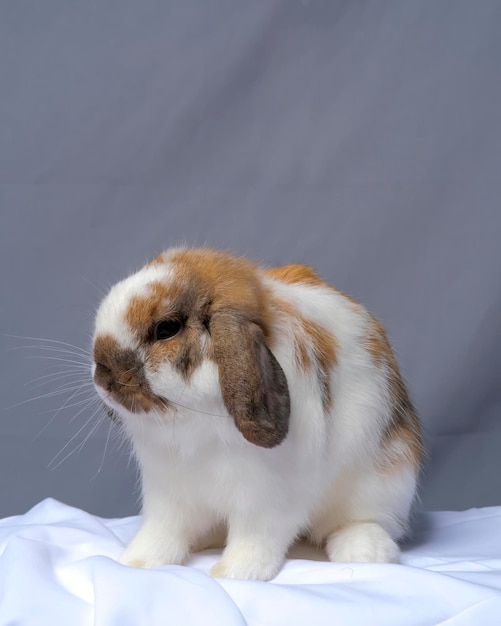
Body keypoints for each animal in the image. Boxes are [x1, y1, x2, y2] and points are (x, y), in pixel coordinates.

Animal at [92, 246, 420, 576]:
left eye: (166, 329)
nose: (103, 377)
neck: (191, 424)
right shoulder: (167, 494)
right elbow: (161, 534)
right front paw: (136, 563)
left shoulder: (265, 500)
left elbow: (255, 538)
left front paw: (235, 572)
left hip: (383, 479)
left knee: (367, 521)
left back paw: (365, 551)